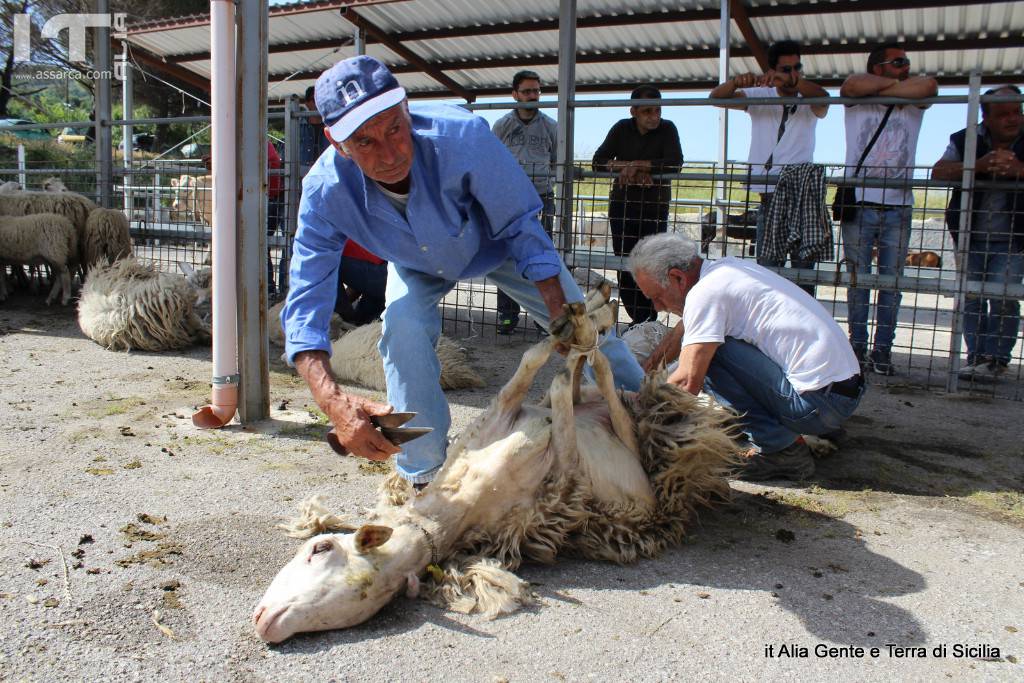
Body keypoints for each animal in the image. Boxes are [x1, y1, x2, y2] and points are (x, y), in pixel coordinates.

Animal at [252, 286, 741, 643]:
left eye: (319, 548)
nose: (263, 619)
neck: (458, 508)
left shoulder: (499, 417)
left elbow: (534, 359)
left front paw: (572, 329)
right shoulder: (561, 474)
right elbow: (551, 381)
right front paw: (568, 358)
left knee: (596, 371)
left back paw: (592, 316)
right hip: (637, 461)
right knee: (599, 380)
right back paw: (589, 331)